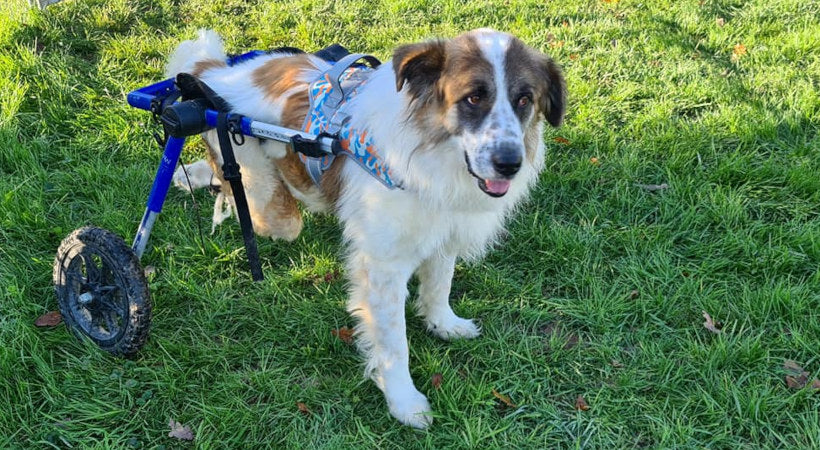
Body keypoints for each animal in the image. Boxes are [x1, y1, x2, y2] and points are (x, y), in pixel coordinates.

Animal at [167, 29, 564, 428]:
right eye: (474, 97)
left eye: (524, 99)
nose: (510, 164)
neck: (430, 152)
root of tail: (211, 72)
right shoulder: (384, 267)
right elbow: (394, 344)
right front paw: (404, 401)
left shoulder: (442, 230)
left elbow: (439, 285)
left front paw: (442, 323)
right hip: (269, 204)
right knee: (244, 191)